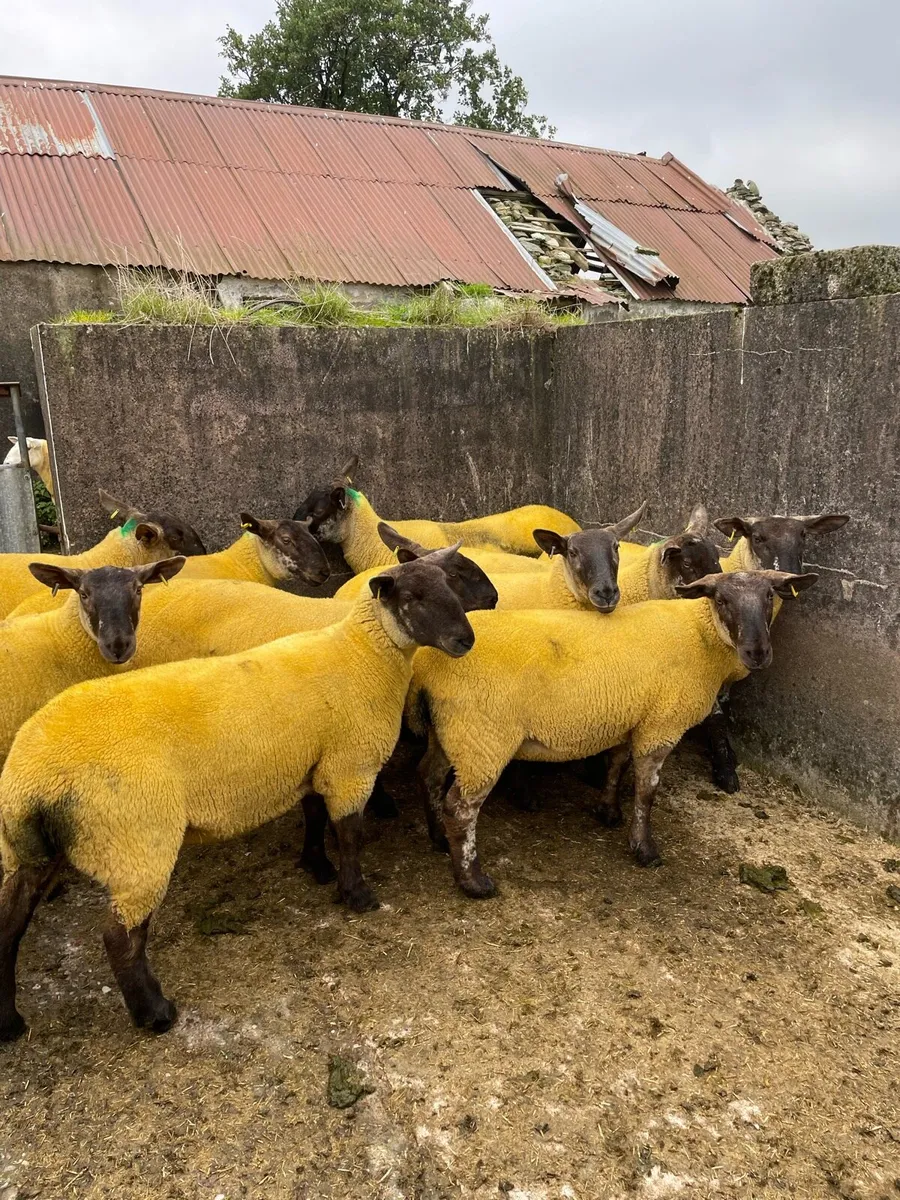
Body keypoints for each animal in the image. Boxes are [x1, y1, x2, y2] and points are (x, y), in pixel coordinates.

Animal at [409, 569, 817, 896]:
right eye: (721, 599)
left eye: (769, 596)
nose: (757, 653)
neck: (700, 637)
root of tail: (425, 666)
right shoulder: (660, 725)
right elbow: (646, 791)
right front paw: (644, 848)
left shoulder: (629, 718)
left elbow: (617, 766)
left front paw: (608, 811)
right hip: (484, 740)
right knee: (460, 809)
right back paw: (473, 881)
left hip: (452, 734)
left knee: (428, 774)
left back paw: (437, 838)